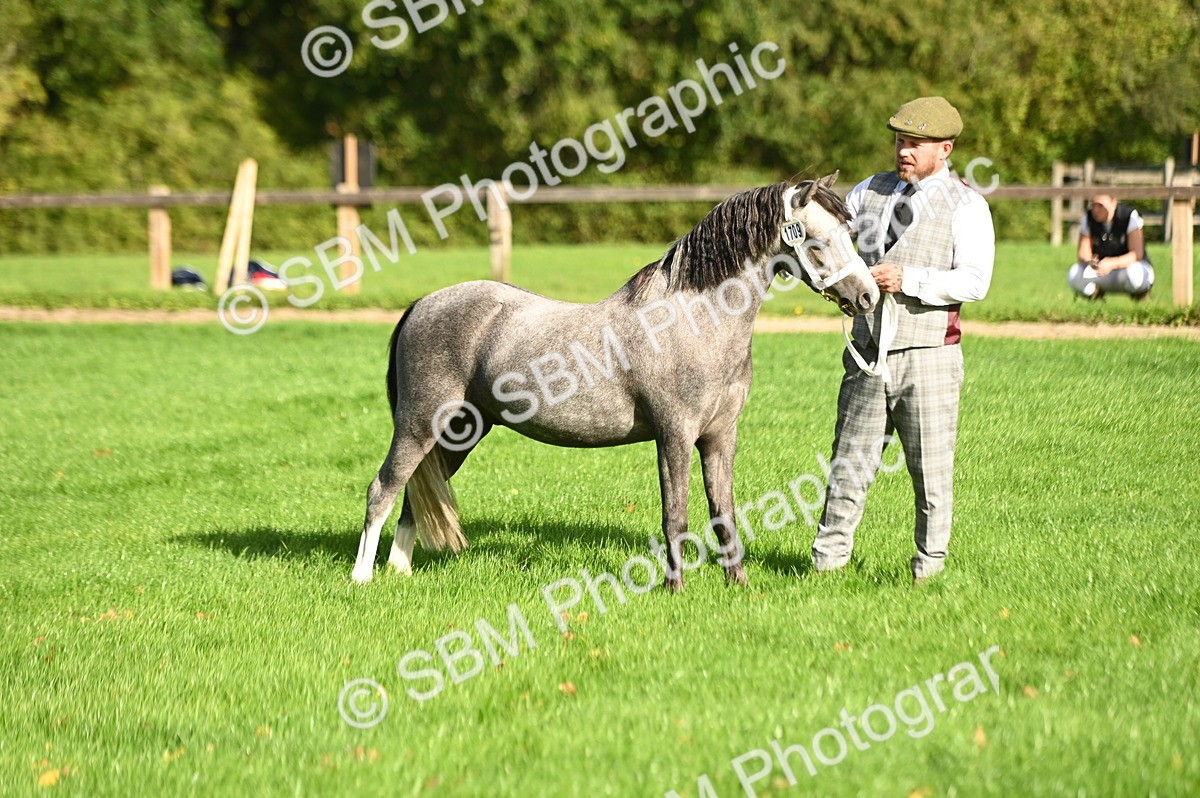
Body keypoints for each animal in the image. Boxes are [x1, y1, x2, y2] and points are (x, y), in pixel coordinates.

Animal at [351, 171, 878, 589]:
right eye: (817, 239)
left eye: (849, 231)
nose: (869, 296)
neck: (692, 319)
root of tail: (422, 304)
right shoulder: (674, 435)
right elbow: (676, 515)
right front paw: (674, 589)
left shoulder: (720, 436)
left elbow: (723, 513)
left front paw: (739, 585)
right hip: (419, 425)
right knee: (383, 489)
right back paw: (363, 578)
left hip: (458, 433)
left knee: (414, 494)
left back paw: (399, 570)